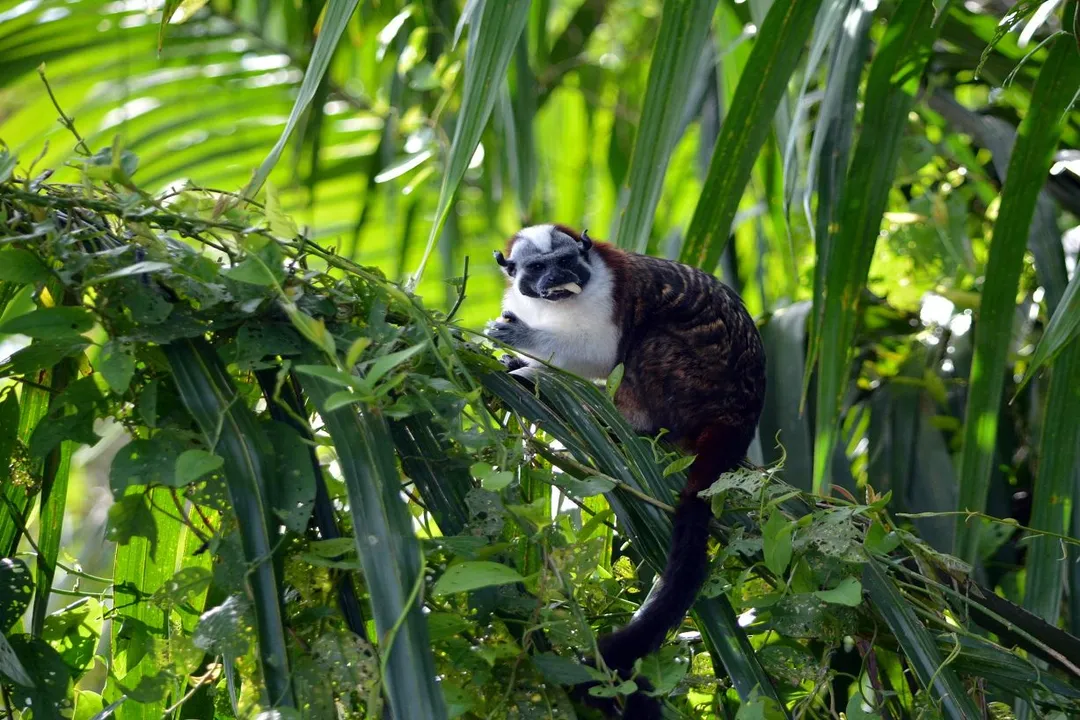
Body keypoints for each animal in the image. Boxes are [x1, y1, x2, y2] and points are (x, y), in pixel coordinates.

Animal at [485, 224, 766, 718]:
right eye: (537, 269)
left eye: (566, 262)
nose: (558, 280)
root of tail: (741, 412)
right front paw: (514, 362)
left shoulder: (606, 295)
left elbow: (601, 352)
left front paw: (524, 349)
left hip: (694, 384)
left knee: (648, 342)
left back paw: (627, 420)